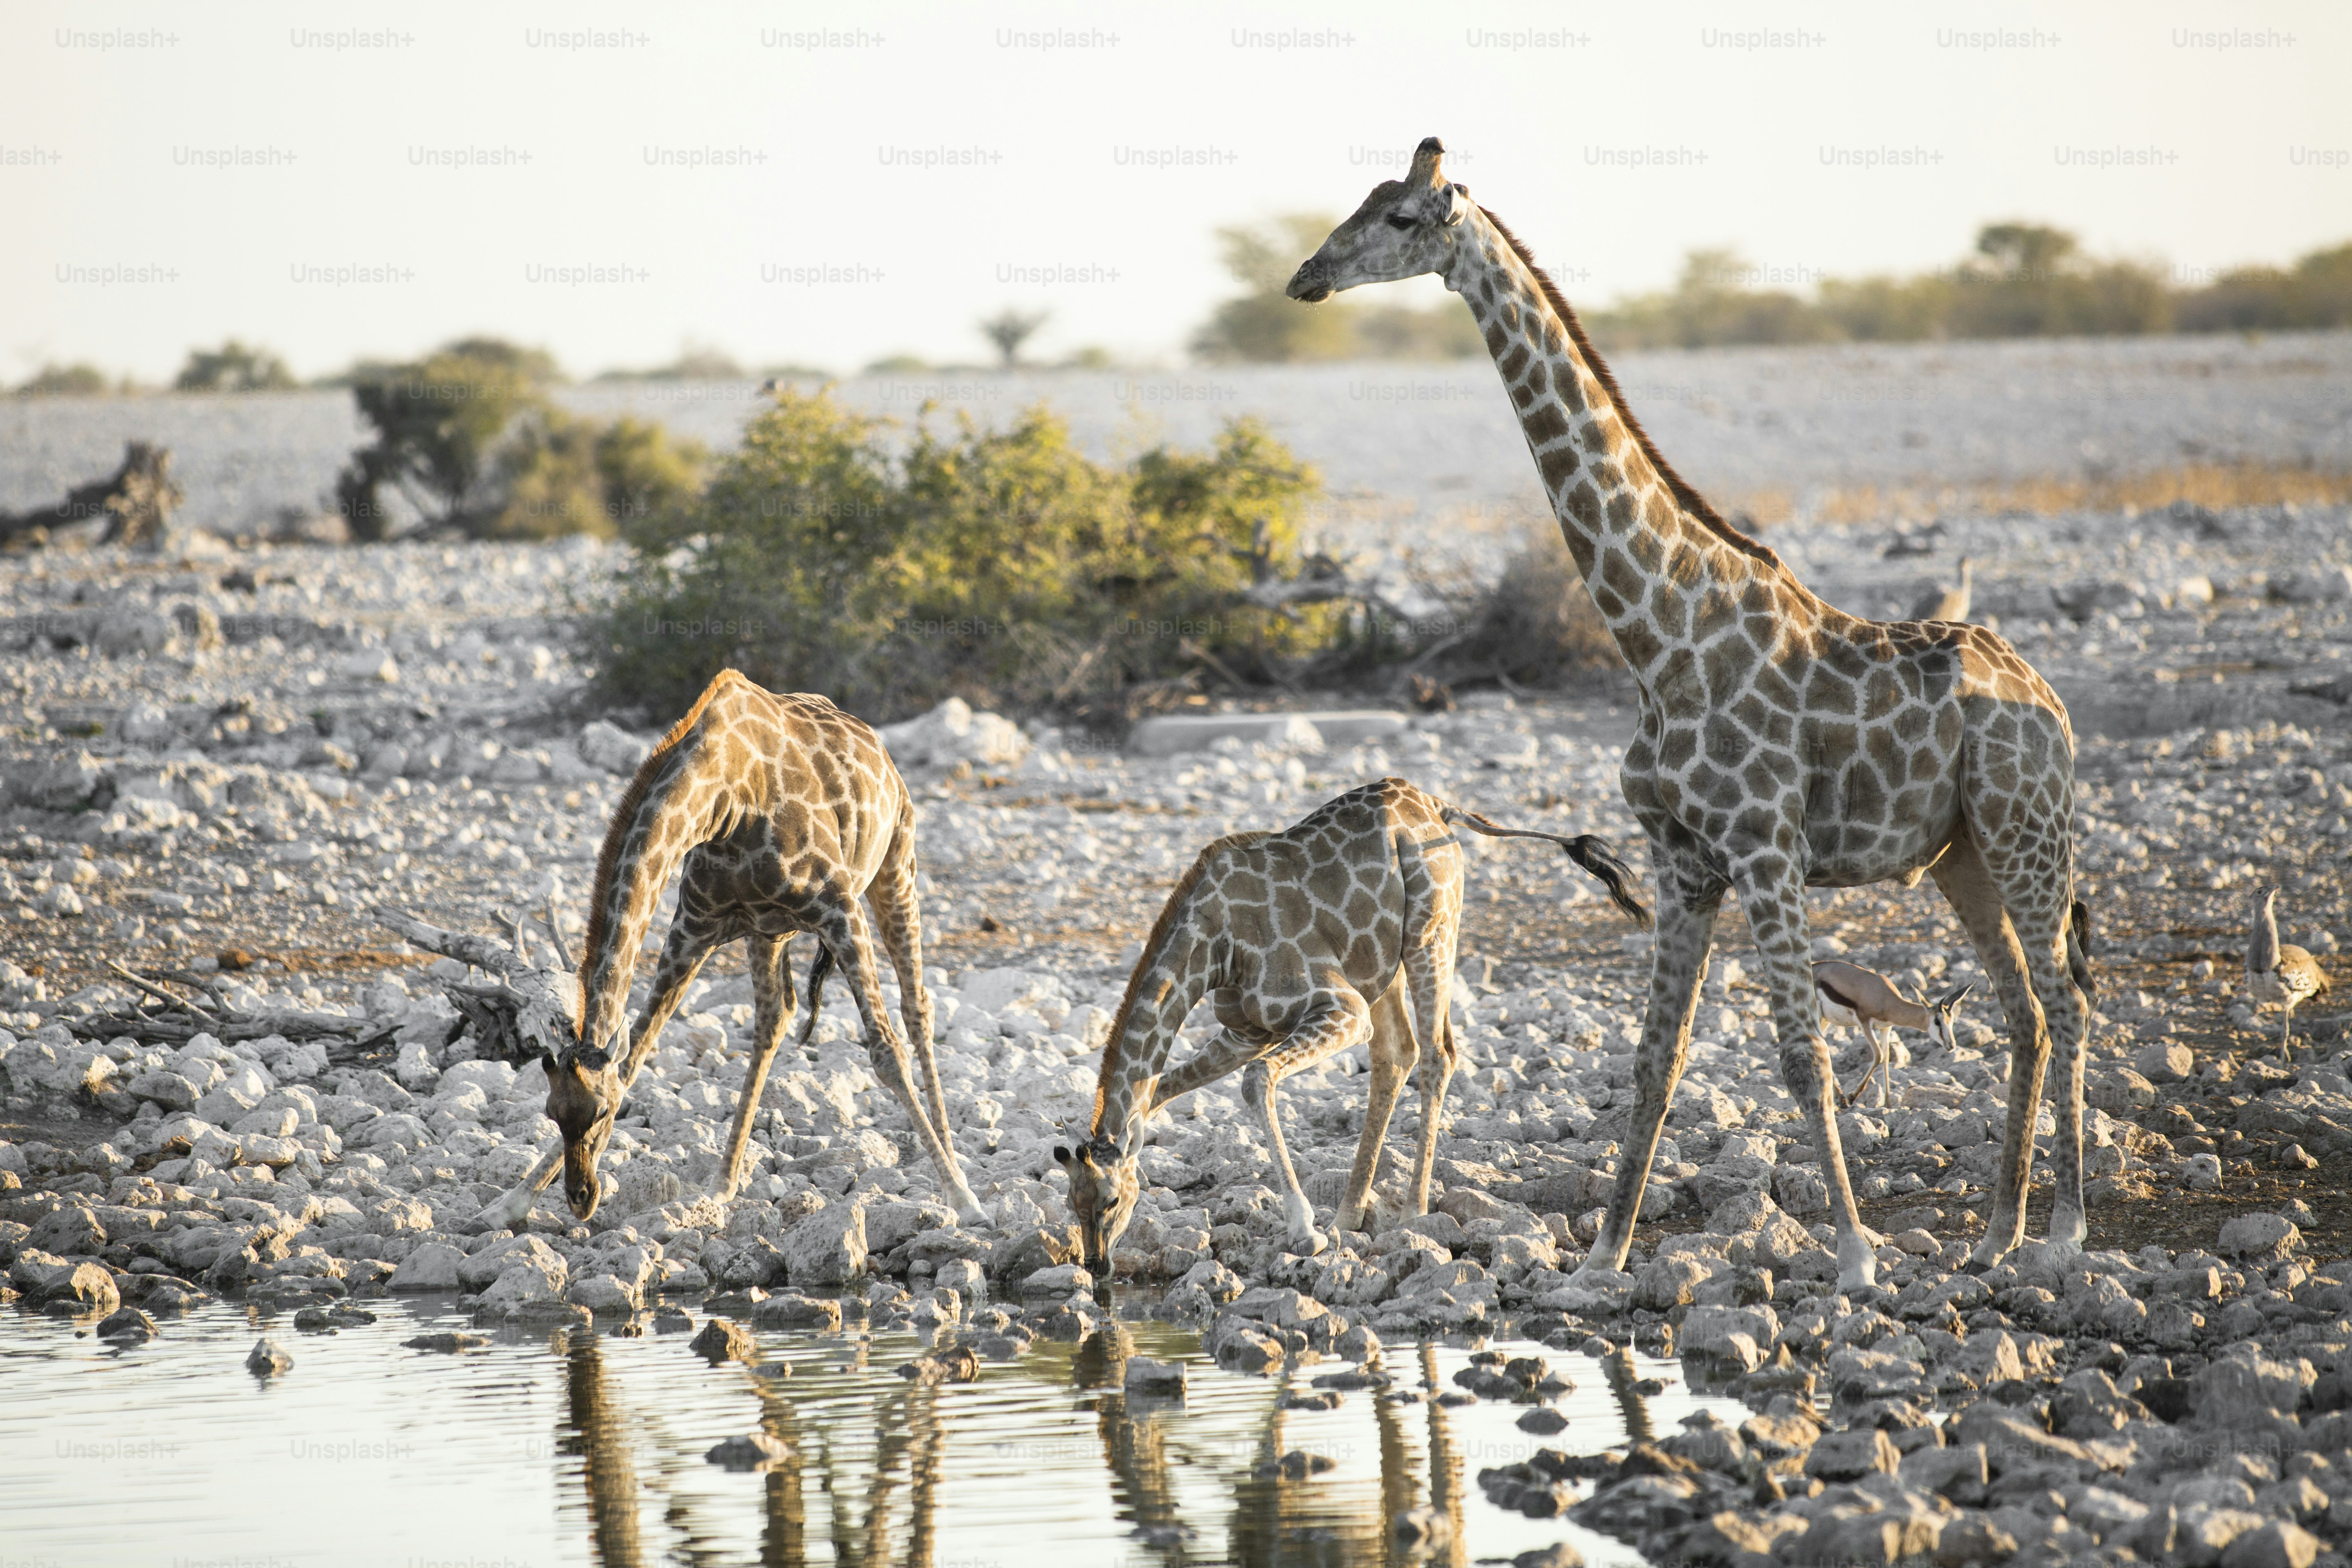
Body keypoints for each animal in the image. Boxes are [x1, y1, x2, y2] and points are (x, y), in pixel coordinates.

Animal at [482, 668, 987, 1230]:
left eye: (605, 1111)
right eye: (552, 1113)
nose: (580, 1196)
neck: (723, 801)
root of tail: (878, 745)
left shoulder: (839, 908)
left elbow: (886, 1052)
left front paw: (964, 1198)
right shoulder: (693, 928)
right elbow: (637, 1053)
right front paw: (510, 1202)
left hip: (896, 867)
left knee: (916, 1007)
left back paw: (952, 1161)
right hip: (768, 933)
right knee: (776, 1017)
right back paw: (724, 1182)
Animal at [1055, 777, 1649, 1273]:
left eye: (1111, 1200)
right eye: (1070, 1202)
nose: (1097, 1266)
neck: (1214, 948)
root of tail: (1438, 807)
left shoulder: (1339, 1009)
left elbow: (1255, 1082)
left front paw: (1304, 1231)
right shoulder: (1245, 1032)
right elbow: (1160, 1093)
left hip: (1432, 933)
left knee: (1437, 1054)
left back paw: (1412, 1210)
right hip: (1381, 964)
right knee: (1398, 1055)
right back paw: (1349, 1214)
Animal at [1287, 139, 2096, 1288]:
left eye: (1400, 217)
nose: (1305, 275)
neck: (1656, 632)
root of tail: (2044, 696)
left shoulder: (1764, 849)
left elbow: (1800, 1055)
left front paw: (1854, 1257)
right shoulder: (1680, 860)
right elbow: (1652, 1059)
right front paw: (1603, 1256)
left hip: (2029, 828)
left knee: (2066, 1004)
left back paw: (2062, 1231)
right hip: (1961, 854)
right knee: (2024, 1013)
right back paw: (1996, 1233)